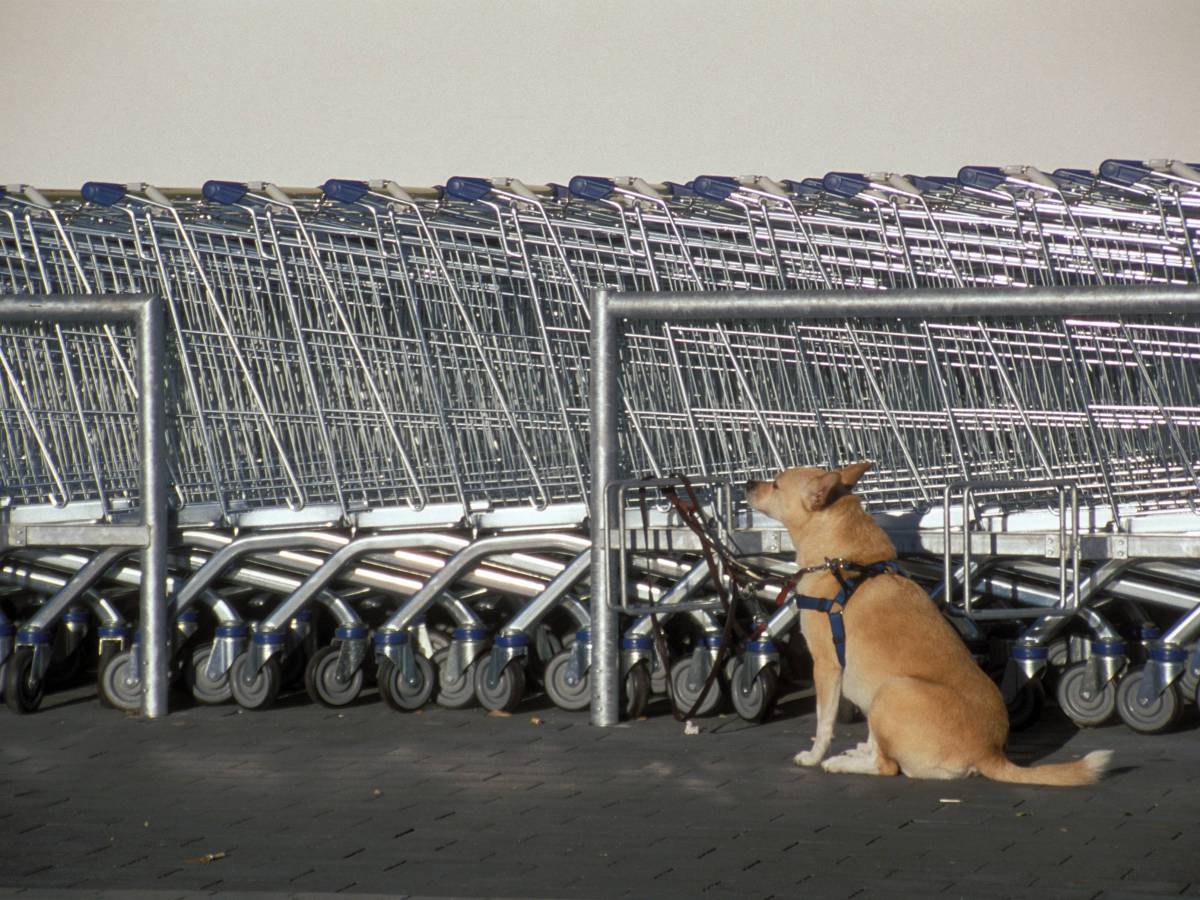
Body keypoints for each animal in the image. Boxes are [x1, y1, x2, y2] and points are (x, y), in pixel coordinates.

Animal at [744, 465, 1108, 787]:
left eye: (775, 484)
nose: (748, 483)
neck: (847, 563)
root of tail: (990, 753)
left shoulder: (827, 666)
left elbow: (823, 722)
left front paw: (814, 756)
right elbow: (869, 737)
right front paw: (862, 746)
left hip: (892, 689)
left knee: (888, 767)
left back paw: (842, 764)